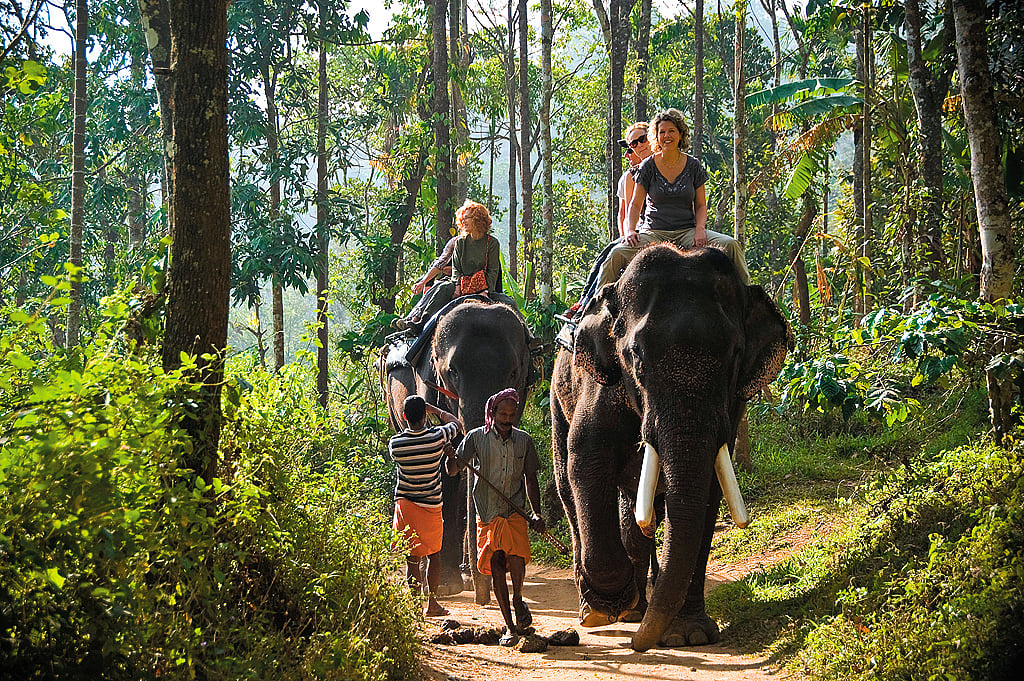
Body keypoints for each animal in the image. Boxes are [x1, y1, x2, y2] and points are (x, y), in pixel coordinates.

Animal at [381, 297, 536, 600]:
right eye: (451, 372)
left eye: (513, 372)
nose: (482, 597)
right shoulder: (427, 385)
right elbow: (445, 472)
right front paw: (445, 586)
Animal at [550, 244, 792, 652]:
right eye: (636, 355)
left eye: (735, 354)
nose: (639, 645)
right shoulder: (600, 386)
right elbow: (587, 457)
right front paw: (609, 605)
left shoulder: (729, 407)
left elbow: (708, 489)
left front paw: (690, 635)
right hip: (556, 397)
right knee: (567, 482)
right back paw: (602, 611)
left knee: (636, 511)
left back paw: (637, 612)